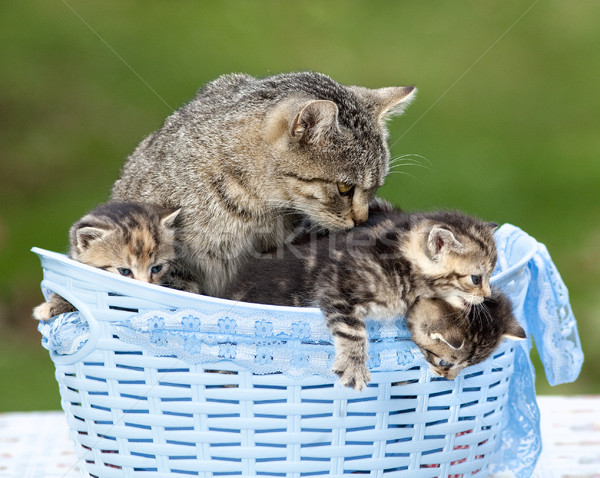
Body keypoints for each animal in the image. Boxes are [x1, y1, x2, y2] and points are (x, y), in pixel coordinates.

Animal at [220, 207, 496, 390]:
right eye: (476, 278)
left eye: (491, 274)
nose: (488, 295)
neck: (403, 261)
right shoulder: (335, 282)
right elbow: (351, 328)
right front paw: (354, 366)